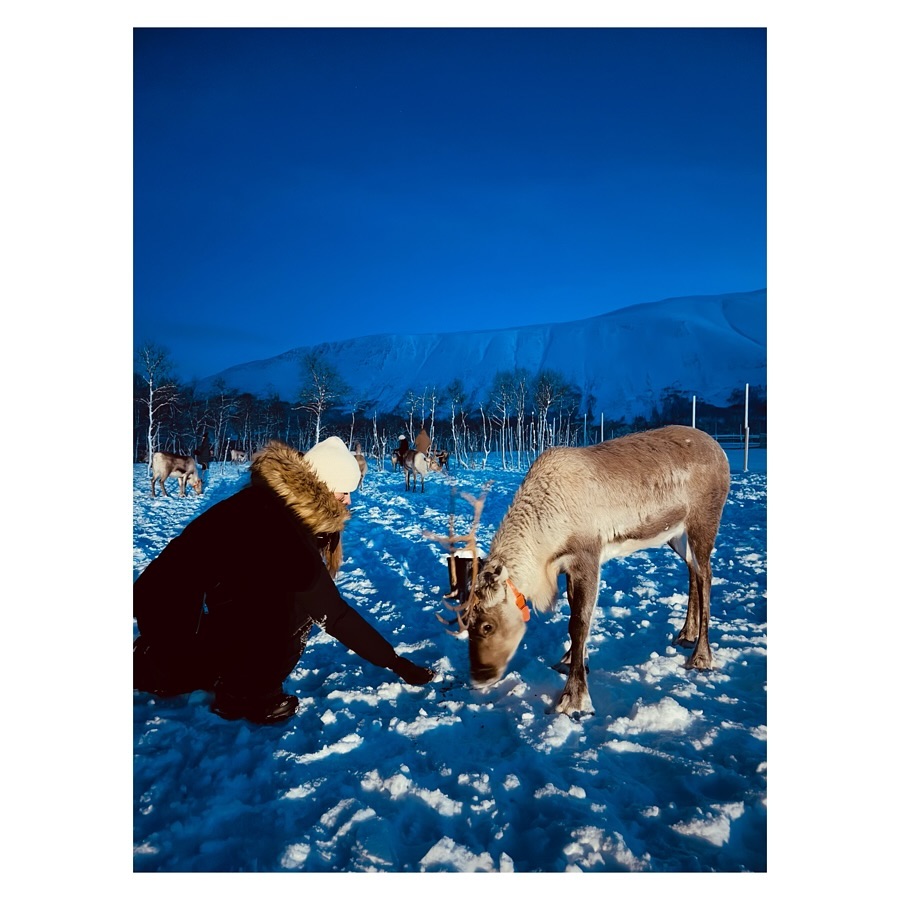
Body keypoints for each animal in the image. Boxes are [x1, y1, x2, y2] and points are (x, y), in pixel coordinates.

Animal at [439, 425, 730, 716]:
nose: (480, 677)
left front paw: (574, 698)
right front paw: (570, 659)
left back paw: (701, 656)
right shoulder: (567, 566)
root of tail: (720, 449)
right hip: (675, 534)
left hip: (703, 521)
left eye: (487, 626)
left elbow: (579, 622)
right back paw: (686, 634)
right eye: (466, 622)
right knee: (693, 570)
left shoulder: (587, 556)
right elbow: (574, 615)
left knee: (706, 575)